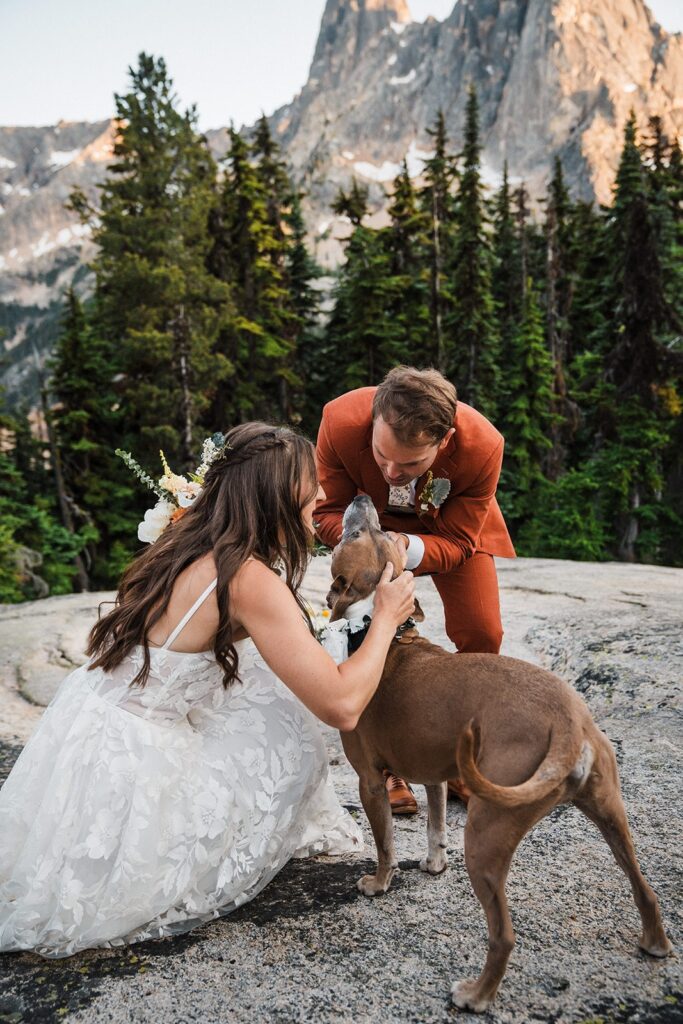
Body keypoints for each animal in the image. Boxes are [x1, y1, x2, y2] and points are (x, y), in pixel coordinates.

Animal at [325, 495, 671, 1015]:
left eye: (358, 535)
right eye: (374, 532)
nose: (364, 500)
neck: (376, 631)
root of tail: (568, 720)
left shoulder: (369, 779)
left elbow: (385, 842)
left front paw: (379, 883)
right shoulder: (435, 772)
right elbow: (435, 826)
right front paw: (433, 864)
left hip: (487, 836)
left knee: (504, 936)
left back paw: (475, 995)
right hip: (611, 813)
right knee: (644, 887)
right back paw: (655, 944)